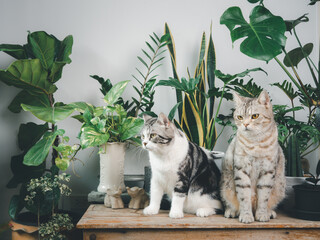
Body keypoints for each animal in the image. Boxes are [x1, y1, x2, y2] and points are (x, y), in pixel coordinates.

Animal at [220, 90, 284, 223]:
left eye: (254, 116)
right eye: (240, 117)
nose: (245, 124)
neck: (255, 143)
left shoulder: (268, 171)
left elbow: (264, 197)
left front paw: (262, 214)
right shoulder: (241, 170)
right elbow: (244, 196)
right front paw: (246, 216)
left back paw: (269, 212)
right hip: (225, 185)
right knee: (230, 202)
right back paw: (232, 211)